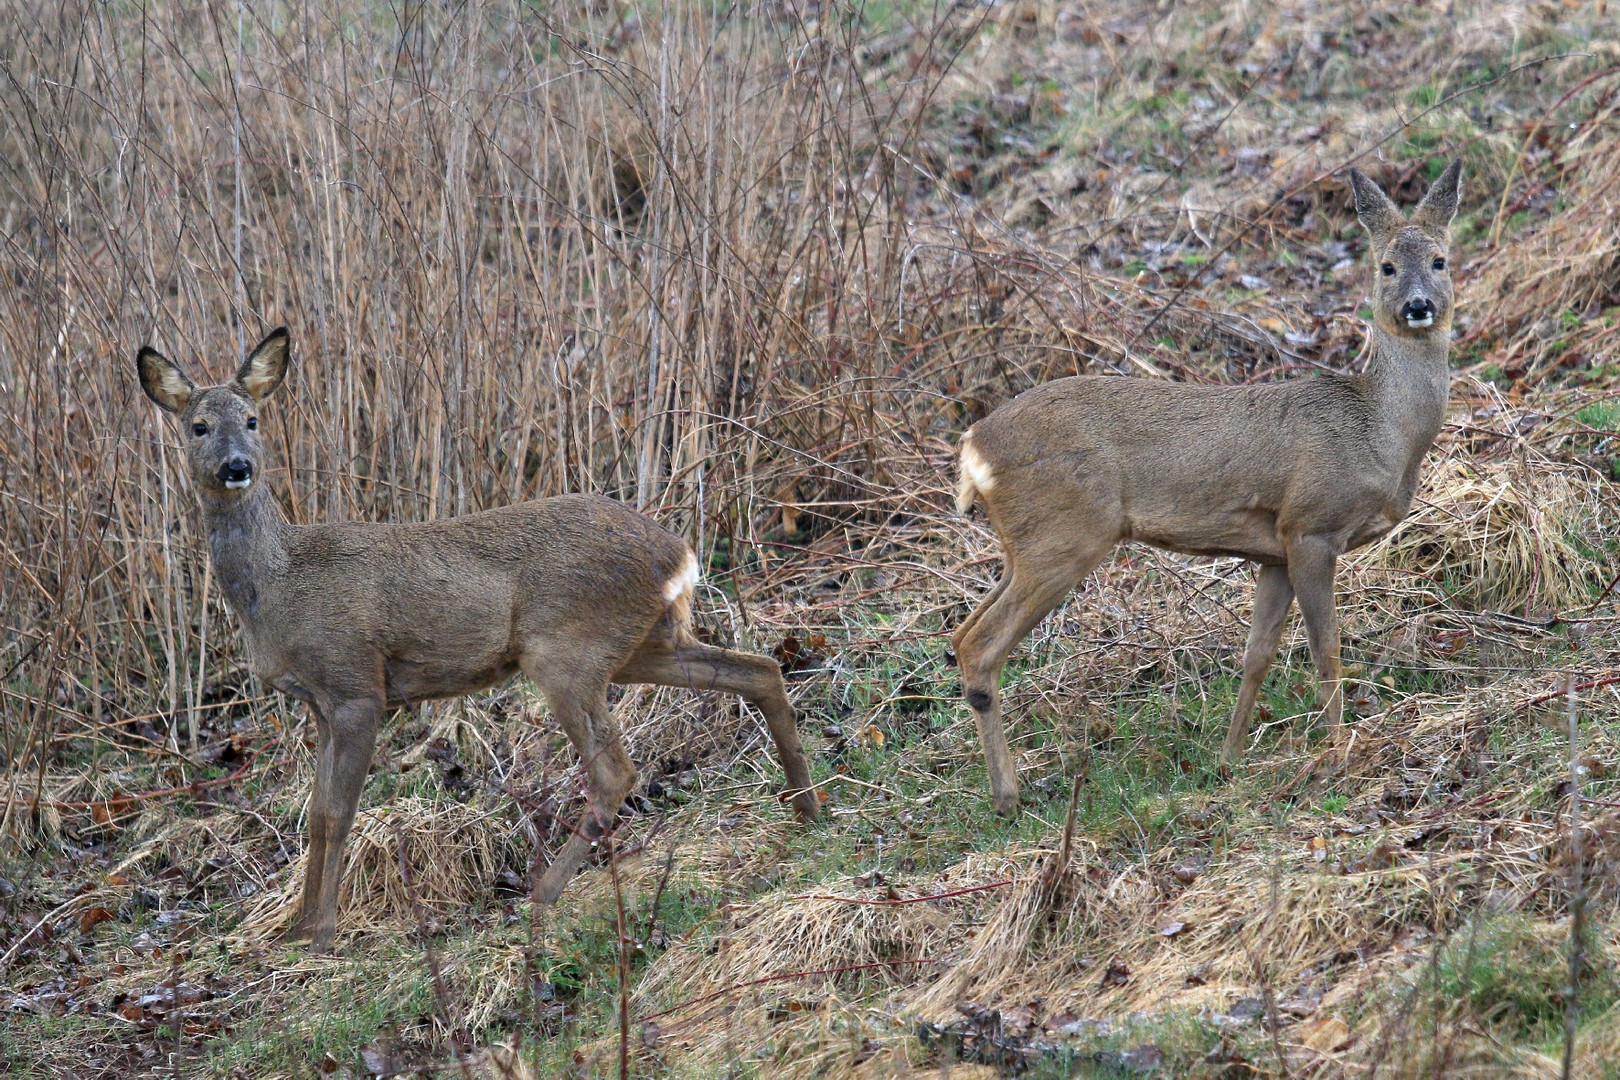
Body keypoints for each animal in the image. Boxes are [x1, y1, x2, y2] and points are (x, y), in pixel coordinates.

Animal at [136, 327, 822, 945]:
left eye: (252, 419)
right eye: (199, 426)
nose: (237, 467)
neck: (278, 588)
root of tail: (678, 553)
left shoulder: (356, 685)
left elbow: (339, 812)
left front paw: (323, 933)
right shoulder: (319, 705)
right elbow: (316, 817)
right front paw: (299, 930)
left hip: (565, 650)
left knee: (615, 769)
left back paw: (541, 897)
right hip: (641, 644)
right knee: (759, 670)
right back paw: (806, 810)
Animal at [952, 162, 1464, 809]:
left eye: (1441, 260)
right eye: (1387, 266)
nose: (1419, 306)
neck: (1380, 431)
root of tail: (974, 446)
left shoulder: (1274, 551)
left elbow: (1257, 655)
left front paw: (1228, 761)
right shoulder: (1312, 525)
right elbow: (1325, 647)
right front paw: (1339, 750)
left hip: (1023, 545)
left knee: (960, 633)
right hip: (1063, 534)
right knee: (980, 645)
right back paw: (1008, 797)